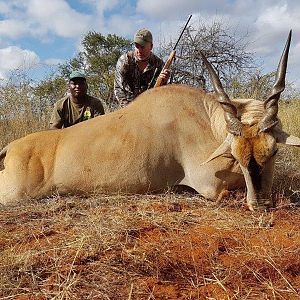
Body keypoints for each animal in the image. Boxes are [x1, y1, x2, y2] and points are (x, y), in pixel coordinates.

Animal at [0, 30, 298, 209]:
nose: (260, 203)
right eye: (236, 154)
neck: (206, 118)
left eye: (273, 152)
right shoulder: (210, 184)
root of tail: (12, 147)